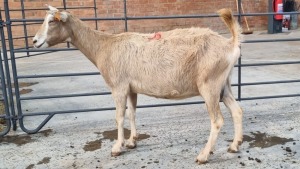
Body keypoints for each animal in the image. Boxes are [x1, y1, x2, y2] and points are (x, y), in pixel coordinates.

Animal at [33, 5, 244, 164]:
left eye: (52, 21)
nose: (35, 41)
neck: (103, 46)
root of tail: (230, 44)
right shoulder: (131, 88)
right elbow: (132, 113)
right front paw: (132, 141)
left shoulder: (118, 86)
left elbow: (119, 117)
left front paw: (117, 148)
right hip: (224, 85)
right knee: (237, 110)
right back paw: (234, 145)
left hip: (209, 85)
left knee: (217, 120)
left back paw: (203, 155)